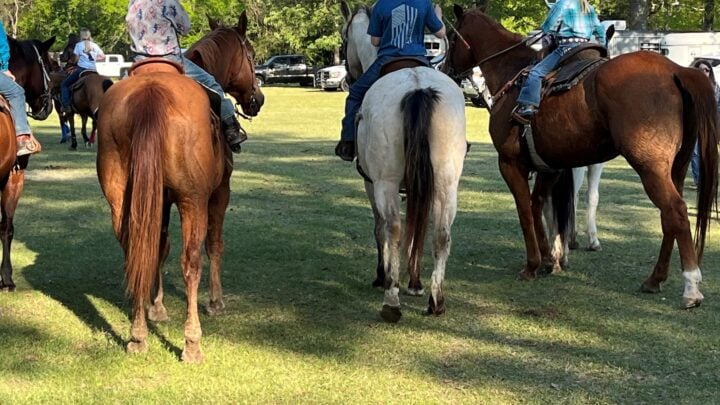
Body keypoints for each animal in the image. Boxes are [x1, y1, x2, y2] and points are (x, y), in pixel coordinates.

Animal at [97, 12, 260, 362]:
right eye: (251, 56)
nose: (257, 99)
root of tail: (151, 92)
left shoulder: (159, 199)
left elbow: (158, 246)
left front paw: (156, 308)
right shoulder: (219, 194)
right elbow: (214, 245)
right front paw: (215, 302)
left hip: (122, 199)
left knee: (135, 249)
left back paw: (138, 334)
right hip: (193, 201)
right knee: (191, 261)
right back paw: (192, 342)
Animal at [340, 3, 466, 322]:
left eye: (344, 39)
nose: (348, 77)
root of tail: (418, 89)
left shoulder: (371, 182)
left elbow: (381, 228)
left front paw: (384, 276)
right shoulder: (418, 185)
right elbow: (417, 227)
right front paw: (415, 282)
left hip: (385, 182)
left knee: (393, 229)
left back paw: (391, 301)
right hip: (447, 183)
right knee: (441, 233)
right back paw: (436, 300)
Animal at [445, 6, 718, 308]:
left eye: (451, 37)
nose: (446, 70)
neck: (511, 72)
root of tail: (675, 71)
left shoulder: (510, 163)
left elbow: (525, 210)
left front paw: (532, 265)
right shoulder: (549, 168)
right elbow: (539, 206)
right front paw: (549, 260)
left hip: (651, 168)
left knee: (676, 212)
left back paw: (691, 287)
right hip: (676, 167)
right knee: (668, 218)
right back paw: (654, 279)